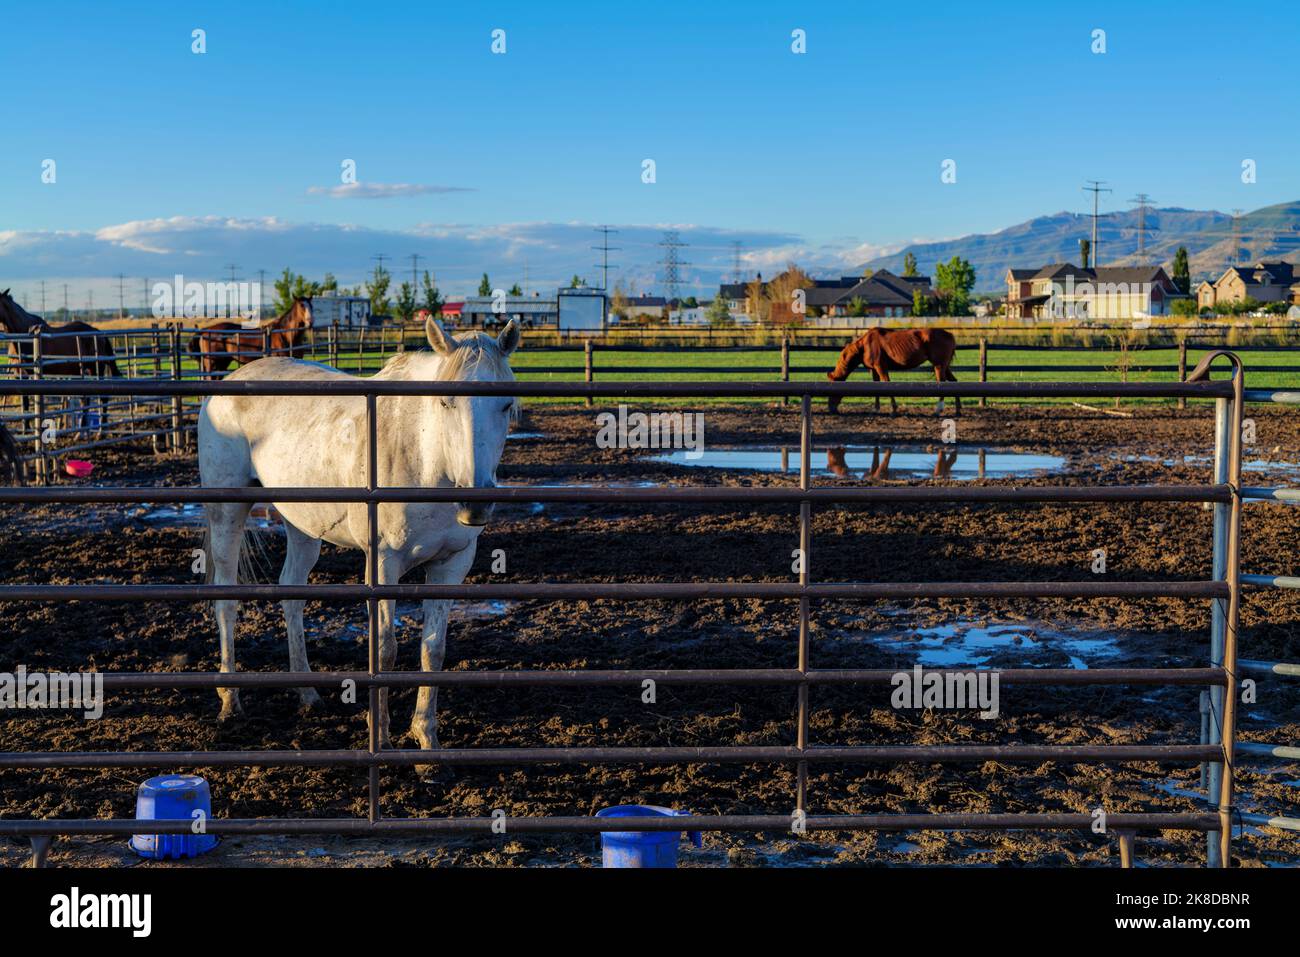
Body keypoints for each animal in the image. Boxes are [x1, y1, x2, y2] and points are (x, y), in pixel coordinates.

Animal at [196, 317, 517, 764]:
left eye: (505, 405)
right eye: (446, 403)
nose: (476, 506)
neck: (426, 458)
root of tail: (227, 384)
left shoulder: (452, 564)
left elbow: (432, 650)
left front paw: (426, 741)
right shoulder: (383, 562)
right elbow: (384, 650)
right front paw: (380, 735)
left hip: (302, 525)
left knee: (290, 594)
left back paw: (307, 693)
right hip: (227, 512)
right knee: (225, 601)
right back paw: (230, 700)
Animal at [826, 328, 961, 416]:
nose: (830, 408)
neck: (864, 346)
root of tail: (949, 334)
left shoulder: (881, 367)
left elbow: (886, 384)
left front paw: (894, 409)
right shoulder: (874, 369)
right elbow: (876, 387)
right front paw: (876, 409)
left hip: (939, 366)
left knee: (943, 383)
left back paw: (938, 410)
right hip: (944, 367)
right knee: (954, 382)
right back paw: (958, 410)